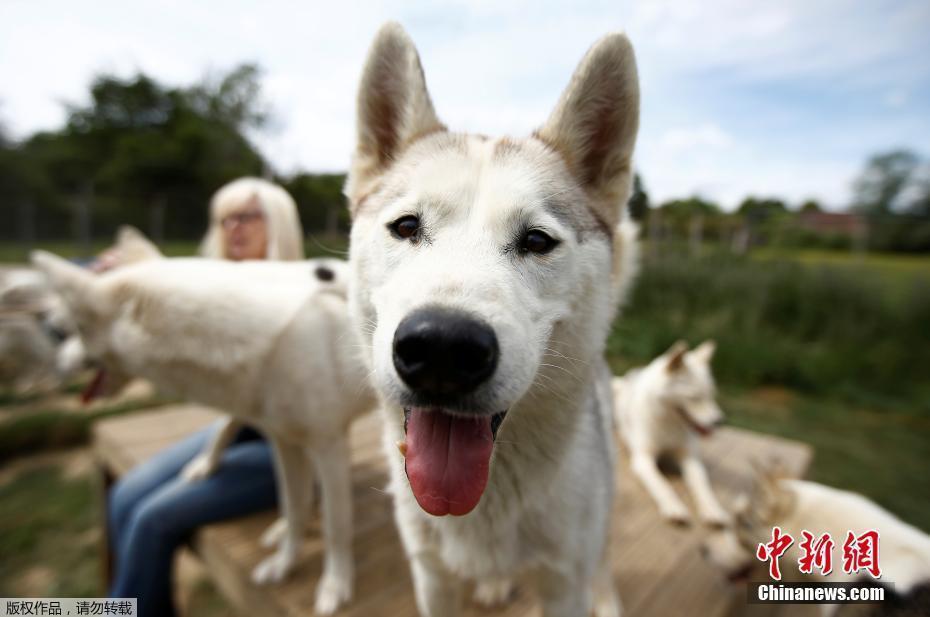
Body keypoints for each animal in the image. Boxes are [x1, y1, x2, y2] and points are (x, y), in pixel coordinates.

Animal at [30, 249, 376, 612]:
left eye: (67, 331)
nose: (55, 367)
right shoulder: (285, 443)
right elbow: (293, 507)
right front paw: (285, 563)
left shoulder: (329, 446)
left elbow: (336, 526)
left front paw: (334, 586)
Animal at [612, 342, 728, 524]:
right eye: (694, 397)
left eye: (711, 395)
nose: (719, 422)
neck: (669, 426)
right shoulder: (644, 460)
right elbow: (662, 485)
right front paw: (674, 507)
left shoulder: (690, 458)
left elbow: (702, 485)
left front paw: (712, 509)